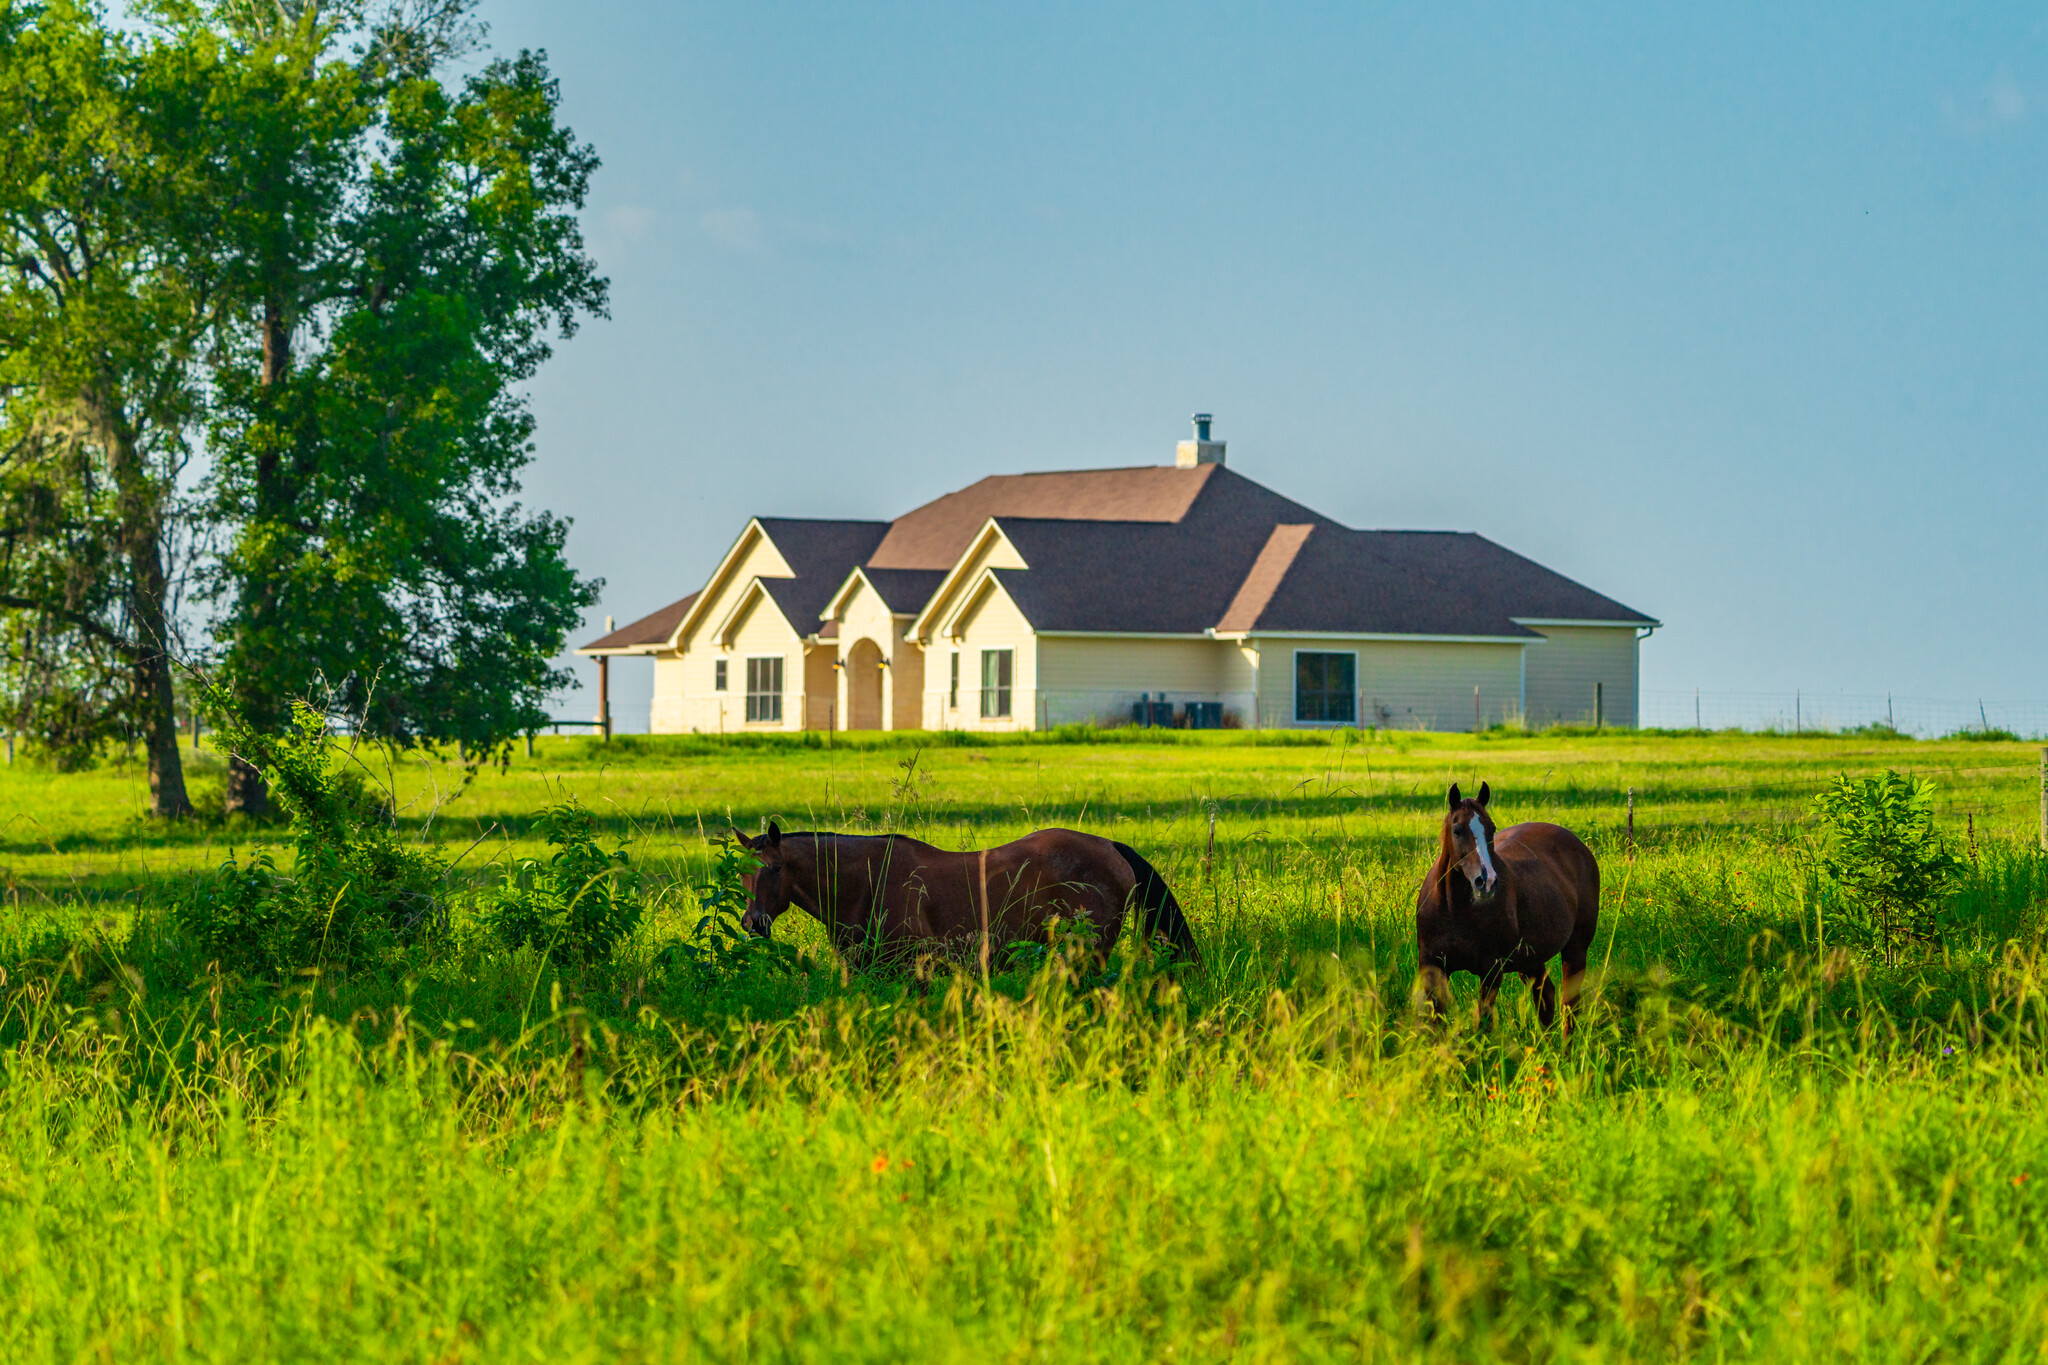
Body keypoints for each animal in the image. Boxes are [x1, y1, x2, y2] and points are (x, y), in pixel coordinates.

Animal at [1417, 785, 1589, 1031]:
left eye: (1492, 828)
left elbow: (1484, 1024)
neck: (1453, 911)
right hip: (1530, 960)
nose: (1486, 881)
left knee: (1569, 1007)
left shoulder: (1491, 970)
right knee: (1546, 996)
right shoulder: (1432, 968)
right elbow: (1436, 1025)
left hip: (1575, 950)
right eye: (1457, 830)